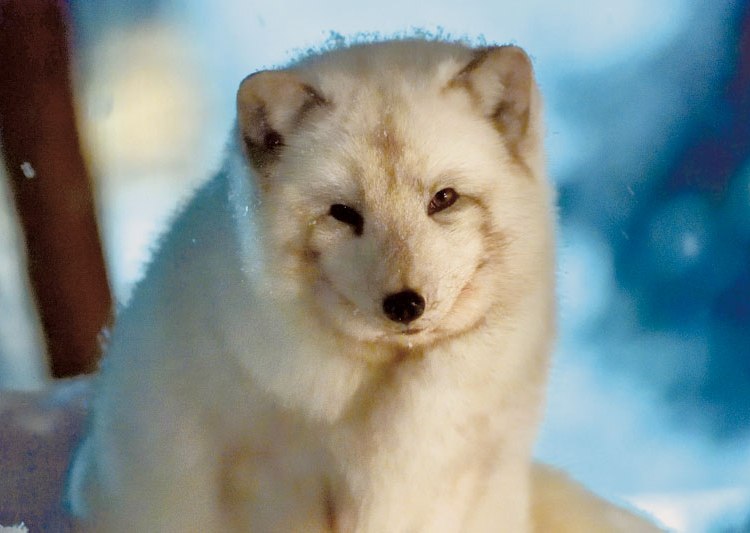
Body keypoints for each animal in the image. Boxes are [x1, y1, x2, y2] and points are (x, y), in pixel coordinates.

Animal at [66, 39, 664, 528]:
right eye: (343, 213)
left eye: (444, 199)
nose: (405, 304)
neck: (389, 391)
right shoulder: (271, 480)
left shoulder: (466, 474)